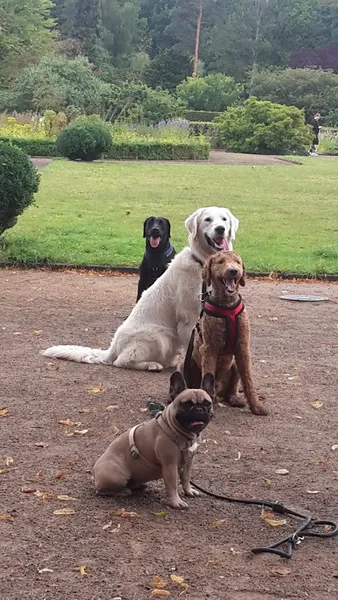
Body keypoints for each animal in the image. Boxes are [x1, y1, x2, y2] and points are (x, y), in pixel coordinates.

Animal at [43, 209, 238, 372]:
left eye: (224, 219)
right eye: (207, 219)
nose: (220, 229)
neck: (203, 263)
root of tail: (112, 348)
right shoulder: (188, 319)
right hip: (159, 336)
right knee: (122, 361)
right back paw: (151, 365)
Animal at [184, 251, 268, 414]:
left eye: (237, 262)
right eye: (221, 262)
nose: (233, 271)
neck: (227, 308)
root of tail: (220, 394)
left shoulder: (243, 348)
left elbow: (248, 380)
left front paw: (256, 406)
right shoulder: (209, 349)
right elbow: (208, 376)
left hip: (234, 365)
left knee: (232, 389)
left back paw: (234, 398)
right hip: (185, 363)